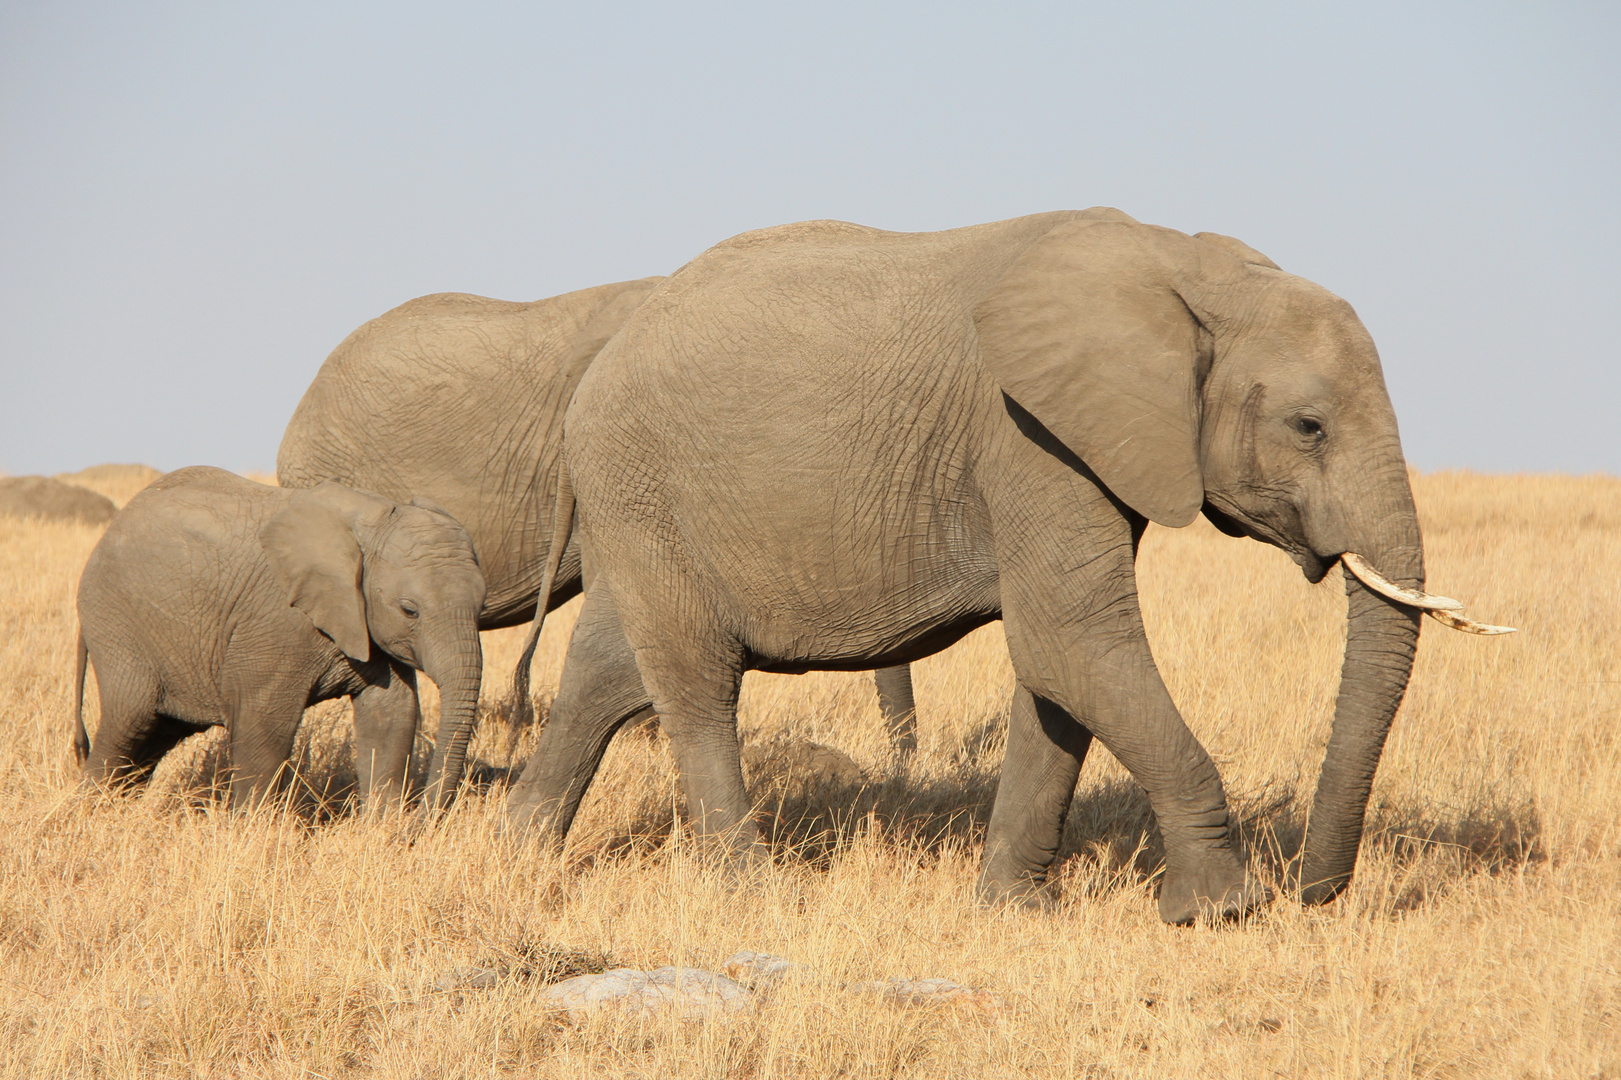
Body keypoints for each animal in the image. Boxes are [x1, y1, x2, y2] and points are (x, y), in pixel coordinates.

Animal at [71, 463, 486, 807]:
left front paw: (385, 832)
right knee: (129, 720)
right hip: (116, 619)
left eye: (482, 605)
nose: (425, 819)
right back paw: (90, 813)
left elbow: (392, 714)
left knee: (155, 734)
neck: (373, 520)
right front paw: (250, 832)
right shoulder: (276, 619)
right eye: (409, 610)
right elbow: (264, 721)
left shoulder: (365, 623)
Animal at [505, 207, 1504, 914]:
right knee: (697, 686)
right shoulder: (1026, 436)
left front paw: (1012, 910)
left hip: (643, 506)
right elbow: (1072, 642)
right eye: (1307, 426)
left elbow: (1056, 671)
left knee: (610, 671)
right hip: (643, 481)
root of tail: (600, 360)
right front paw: (1220, 912)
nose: (1313, 893)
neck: (1185, 268)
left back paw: (517, 854)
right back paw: (752, 895)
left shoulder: (1081, 445)